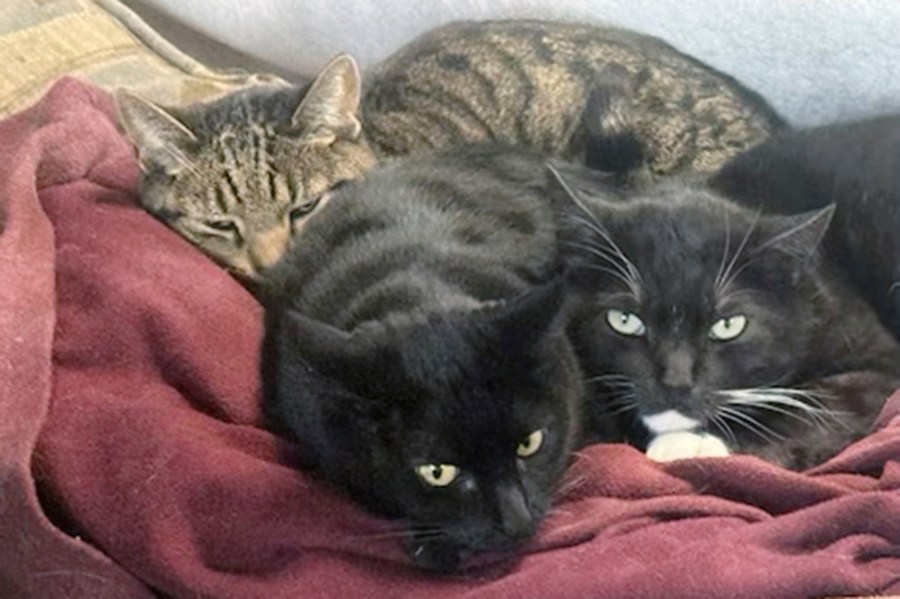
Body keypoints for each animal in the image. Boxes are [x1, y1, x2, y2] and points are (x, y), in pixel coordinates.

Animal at [552, 171, 900, 472]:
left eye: (728, 325)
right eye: (624, 320)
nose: (676, 383)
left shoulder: (878, 361)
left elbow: (823, 403)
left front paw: (691, 445)